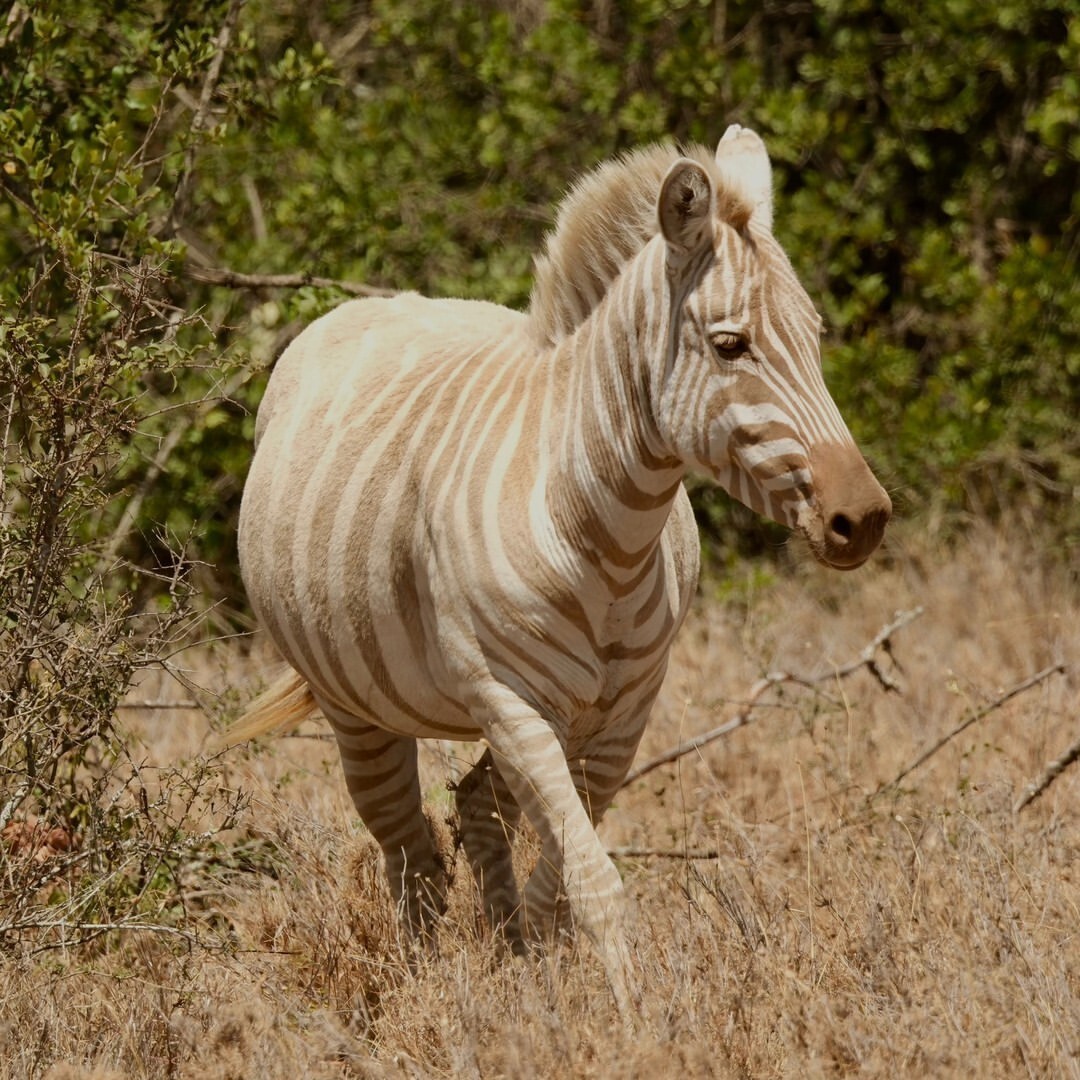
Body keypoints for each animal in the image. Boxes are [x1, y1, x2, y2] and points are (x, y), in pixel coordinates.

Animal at [234, 124, 885, 1010]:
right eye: (731, 345)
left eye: (815, 337)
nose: (865, 519)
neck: (603, 537)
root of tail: (367, 304)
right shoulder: (512, 702)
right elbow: (594, 879)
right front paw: (628, 1019)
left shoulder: (623, 712)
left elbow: (563, 878)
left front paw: (538, 983)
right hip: (359, 704)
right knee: (408, 849)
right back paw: (419, 990)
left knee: (472, 808)